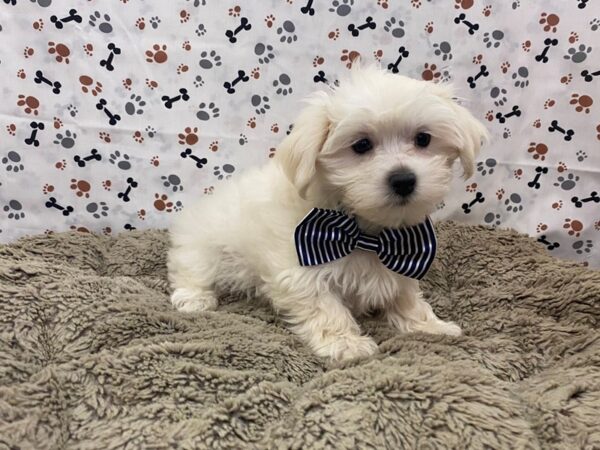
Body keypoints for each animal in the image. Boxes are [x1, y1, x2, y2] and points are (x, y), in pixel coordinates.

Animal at [168, 65, 488, 362]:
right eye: (361, 145)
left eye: (423, 139)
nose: (403, 180)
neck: (365, 232)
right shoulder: (299, 266)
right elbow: (324, 305)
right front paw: (346, 343)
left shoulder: (404, 258)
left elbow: (407, 297)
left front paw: (430, 326)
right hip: (204, 248)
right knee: (190, 269)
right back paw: (194, 298)